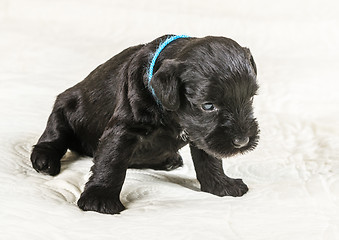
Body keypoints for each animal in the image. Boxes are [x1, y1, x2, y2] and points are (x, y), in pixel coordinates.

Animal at [31, 34, 260, 215]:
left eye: (250, 98)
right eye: (208, 105)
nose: (242, 141)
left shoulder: (200, 134)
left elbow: (209, 159)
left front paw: (221, 185)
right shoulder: (123, 130)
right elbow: (112, 161)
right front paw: (100, 197)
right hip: (64, 107)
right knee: (54, 135)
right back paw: (44, 158)